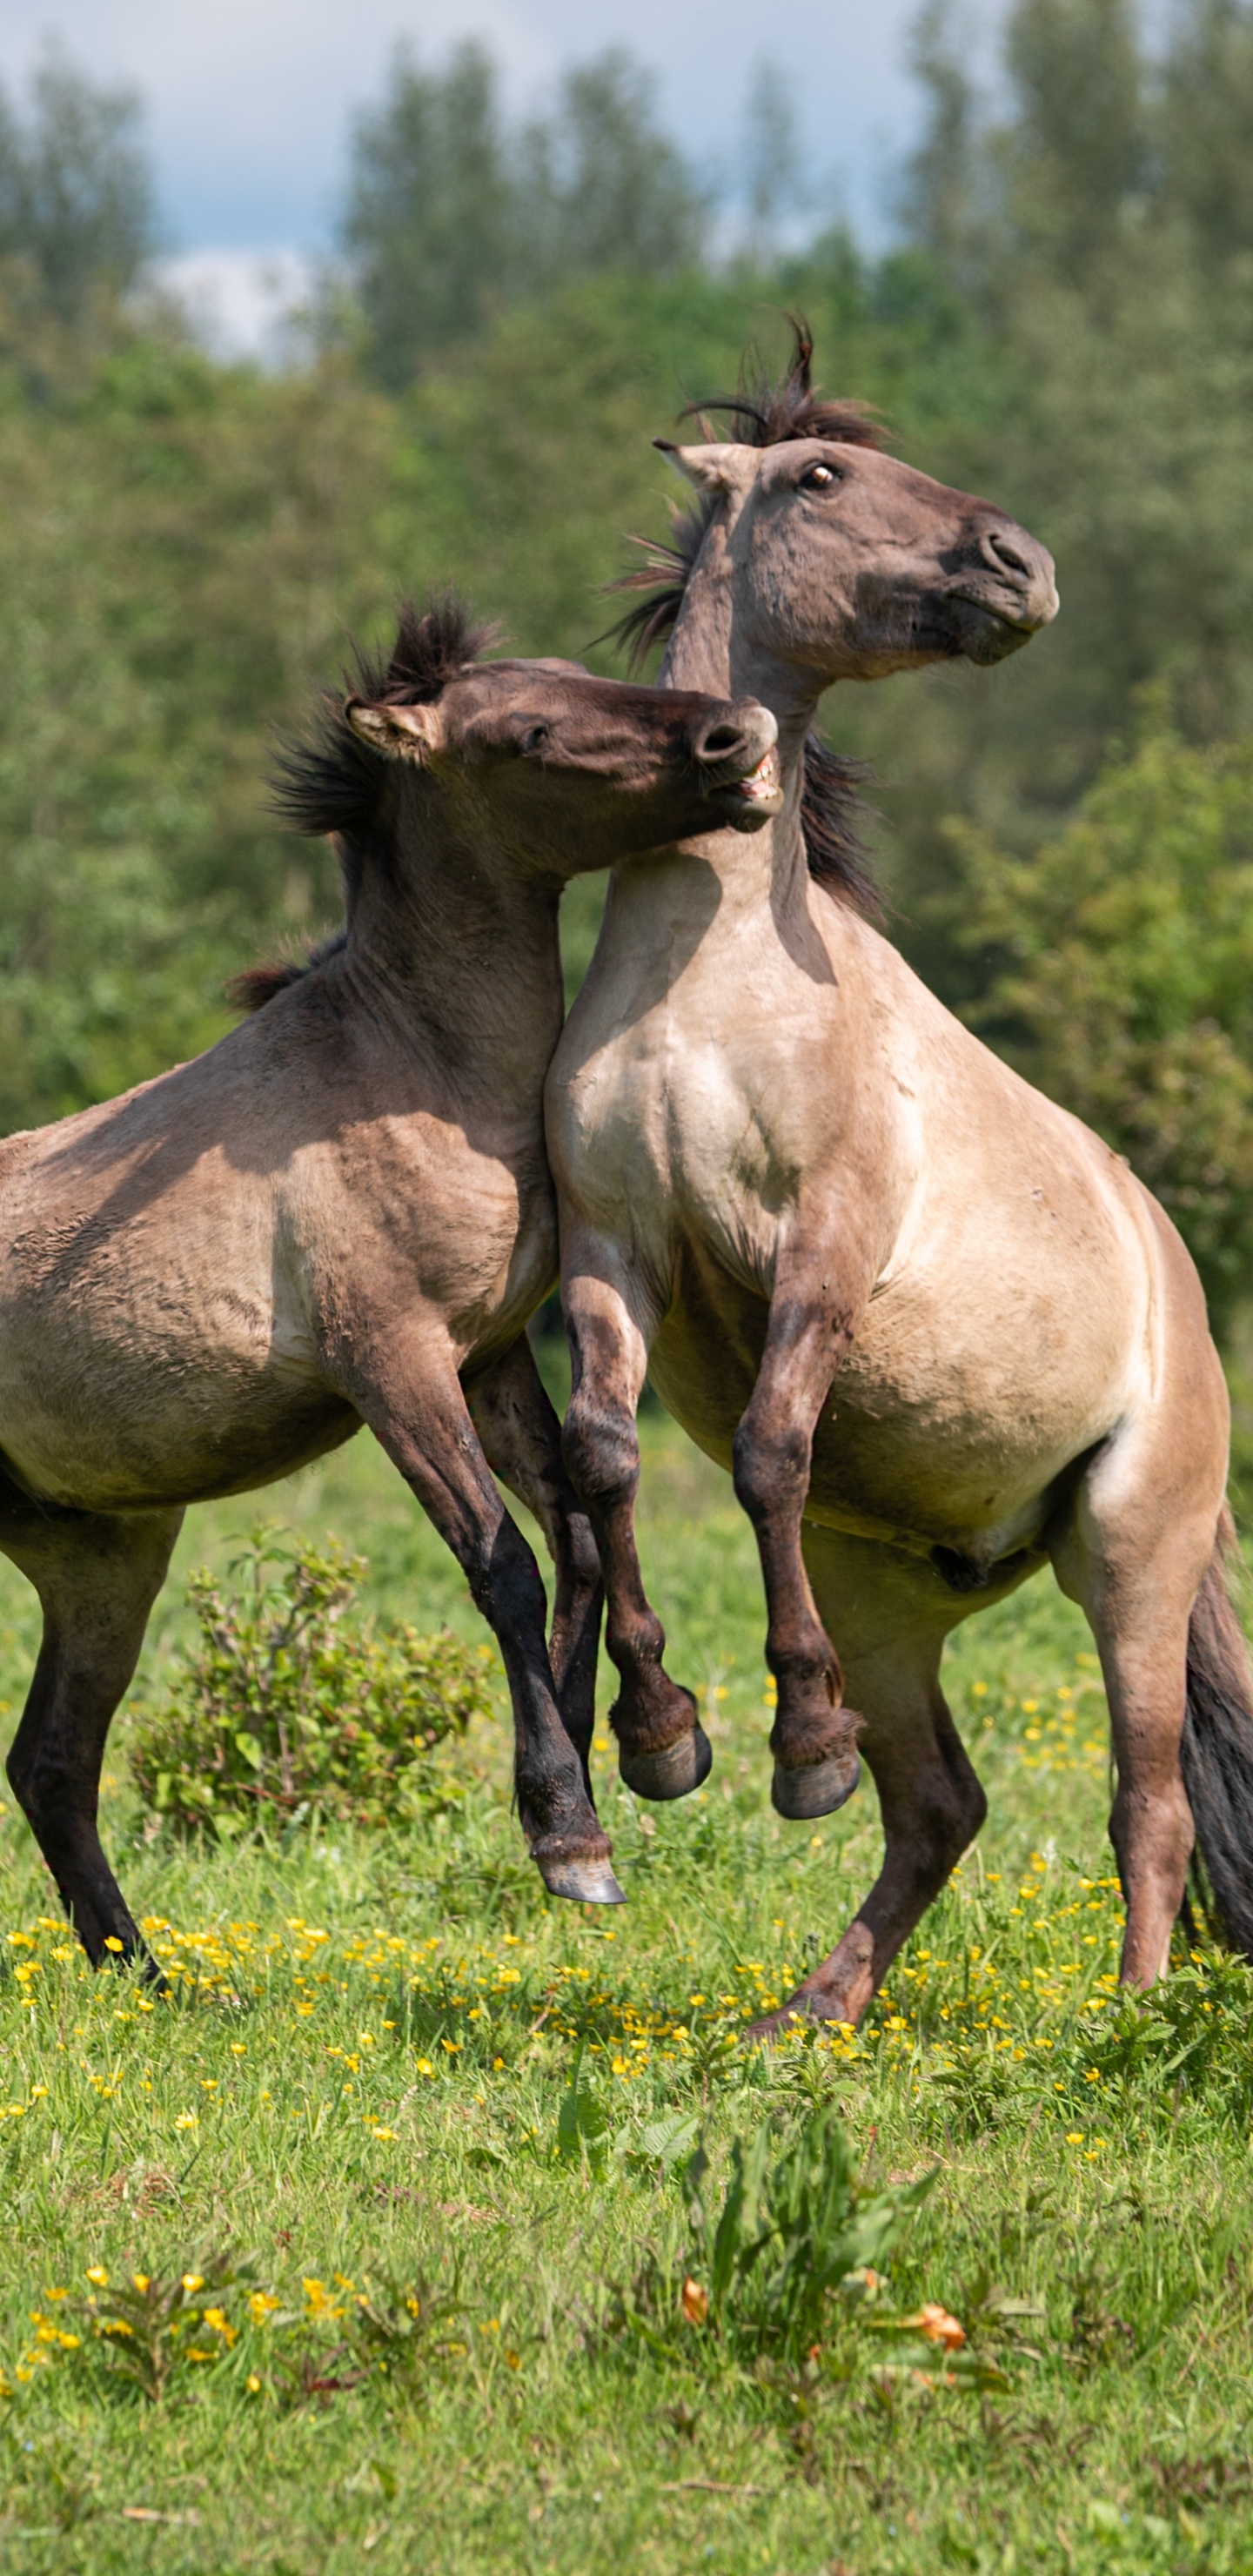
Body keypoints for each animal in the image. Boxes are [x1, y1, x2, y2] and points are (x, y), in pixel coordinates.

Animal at [2, 602, 783, 1957]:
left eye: (584, 675)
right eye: (531, 733)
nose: (737, 737)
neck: (416, 1073)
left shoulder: (490, 1353)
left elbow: (577, 1535)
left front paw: (639, 1749)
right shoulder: (392, 1363)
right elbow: (504, 1567)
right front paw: (571, 1837)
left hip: (102, 1558)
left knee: (51, 1762)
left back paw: (150, 1974)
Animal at [552, 342, 1253, 2029]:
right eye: (818, 478)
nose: (1023, 566)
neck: (713, 989)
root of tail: (1182, 1299)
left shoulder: (826, 1247)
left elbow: (766, 1451)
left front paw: (792, 1746)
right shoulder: (611, 1249)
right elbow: (602, 1459)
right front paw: (665, 1737)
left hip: (1133, 1559)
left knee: (1150, 1801)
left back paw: (1131, 2016)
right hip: (887, 1593)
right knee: (942, 1805)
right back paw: (808, 2014)